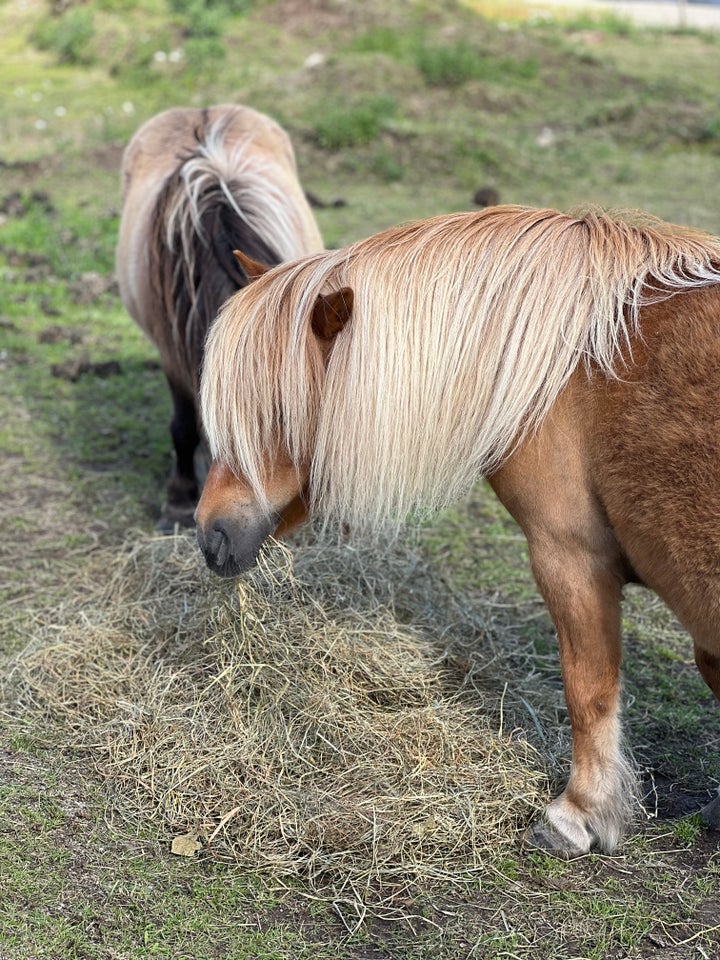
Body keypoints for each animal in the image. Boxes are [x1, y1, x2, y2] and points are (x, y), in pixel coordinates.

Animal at [194, 206, 720, 860]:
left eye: (276, 413)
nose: (209, 535)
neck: (566, 369)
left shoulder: (571, 557)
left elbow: (589, 689)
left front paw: (577, 815)